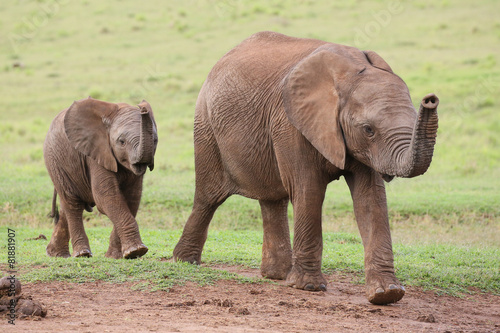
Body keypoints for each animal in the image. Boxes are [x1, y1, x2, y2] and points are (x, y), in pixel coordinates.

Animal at [45, 97, 158, 258]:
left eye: (155, 140)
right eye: (121, 141)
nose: (142, 106)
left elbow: (132, 198)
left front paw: (117, 256)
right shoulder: (95, 152)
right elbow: (106, 197)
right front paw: (137, 251)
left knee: (66, 206)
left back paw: (56, 254)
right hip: (55, 162)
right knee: (72, 204)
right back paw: (82, 254)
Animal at [174, 31, 440, 304]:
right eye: (369, 130)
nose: (431, 99)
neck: (348, 72)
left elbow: (370, 200)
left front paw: (387, 294)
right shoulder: (291, 123)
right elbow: (308, 190)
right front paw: (309, 287)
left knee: (272, 198)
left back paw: (277, 275)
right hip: (206, 126)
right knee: (209, 197)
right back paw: (185, 262)